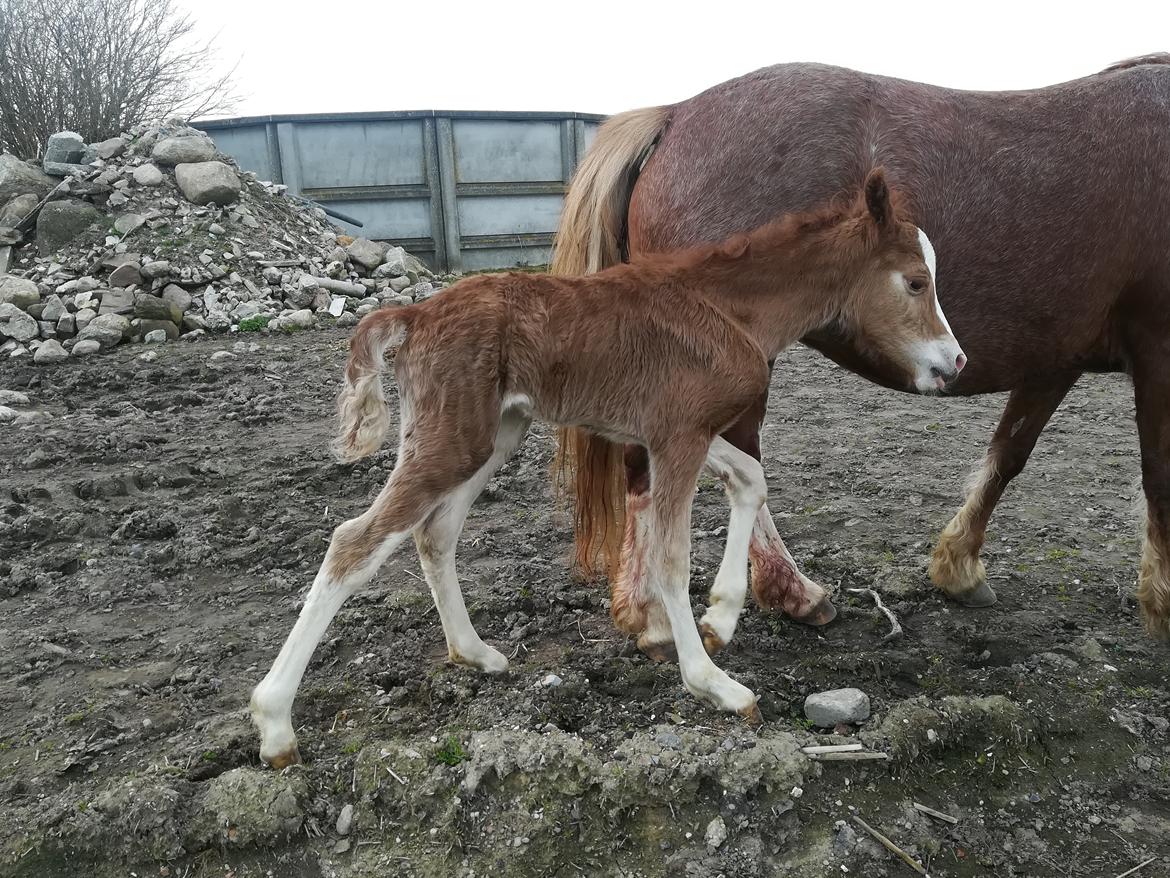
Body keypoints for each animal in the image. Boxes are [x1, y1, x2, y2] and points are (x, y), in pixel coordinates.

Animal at [246, 168, 959, 767]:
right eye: (914, 282)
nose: (954, 363)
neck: (730, 306)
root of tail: (414, 314)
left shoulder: (676, 432)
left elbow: (749, 480)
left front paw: (719, 617)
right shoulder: (678, 435)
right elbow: (672, 557)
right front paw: (713, 682)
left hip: (492, 435)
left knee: (434, 533)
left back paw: (475, 653)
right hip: (453, 440)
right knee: (354, 542)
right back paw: (275, 723)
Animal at [554, 49, 1170, 655]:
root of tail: (677, 115)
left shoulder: (1057, 359)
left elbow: (1009, 454)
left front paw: (958, 566)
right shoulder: (1155, 350)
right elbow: (1157, 472)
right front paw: (1161, 606)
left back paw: (657, 610)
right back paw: (751, 597)